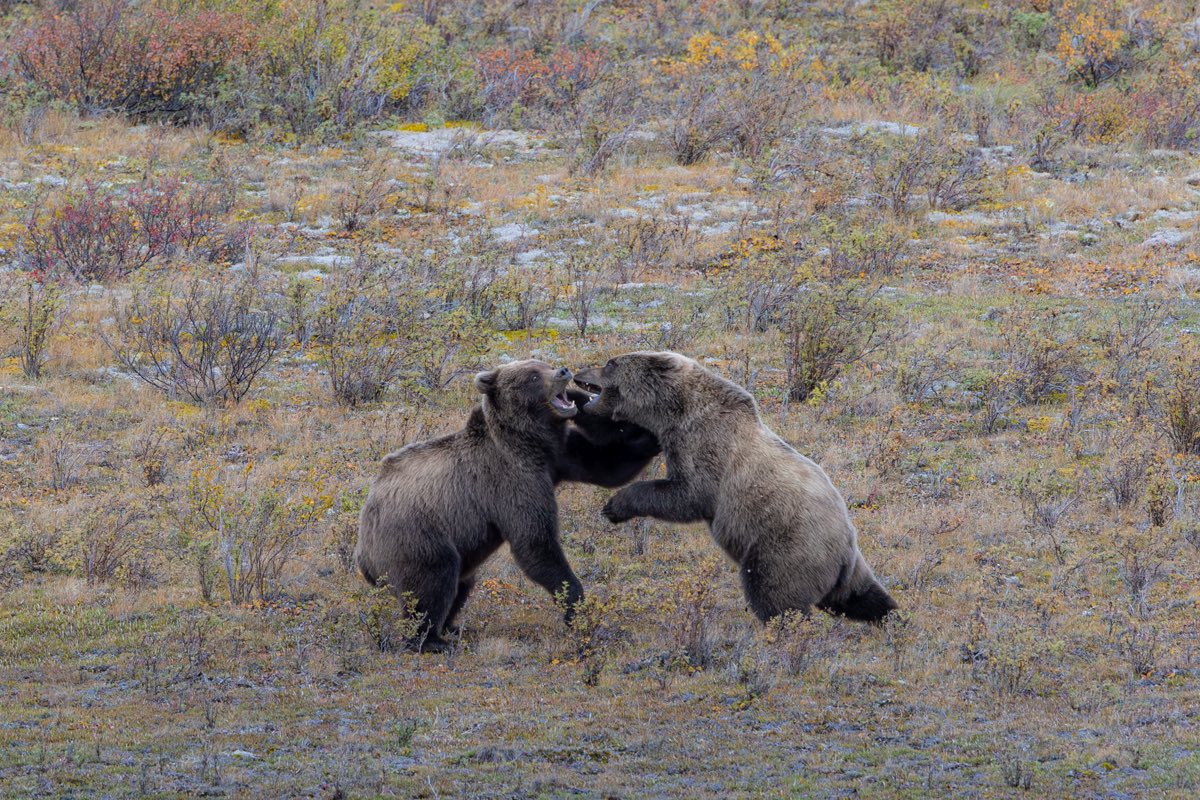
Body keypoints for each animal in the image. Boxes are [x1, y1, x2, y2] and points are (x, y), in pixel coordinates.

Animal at [355, 359, 660, 652]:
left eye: (545, 364)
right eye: (534, 375)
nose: (562, 371)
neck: (527, 441)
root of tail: (363, 553)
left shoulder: (557, 455)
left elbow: (607, 464)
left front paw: (651, 436)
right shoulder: (509, 479)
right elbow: (534, 542)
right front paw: (575, 606)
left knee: (462, 583)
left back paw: (452, 627)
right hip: (414, 536)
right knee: (433, 580)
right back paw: (430, 640)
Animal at [574, 351, 897, 624]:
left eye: (610, 363)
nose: (579, 371)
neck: (675, 412)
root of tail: (845, 545)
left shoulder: (706, 446)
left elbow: (687, 495)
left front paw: (615, 505)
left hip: (785, 549)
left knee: (774, 595)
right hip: (849, 572)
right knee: (865, 597)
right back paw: (891, 618)